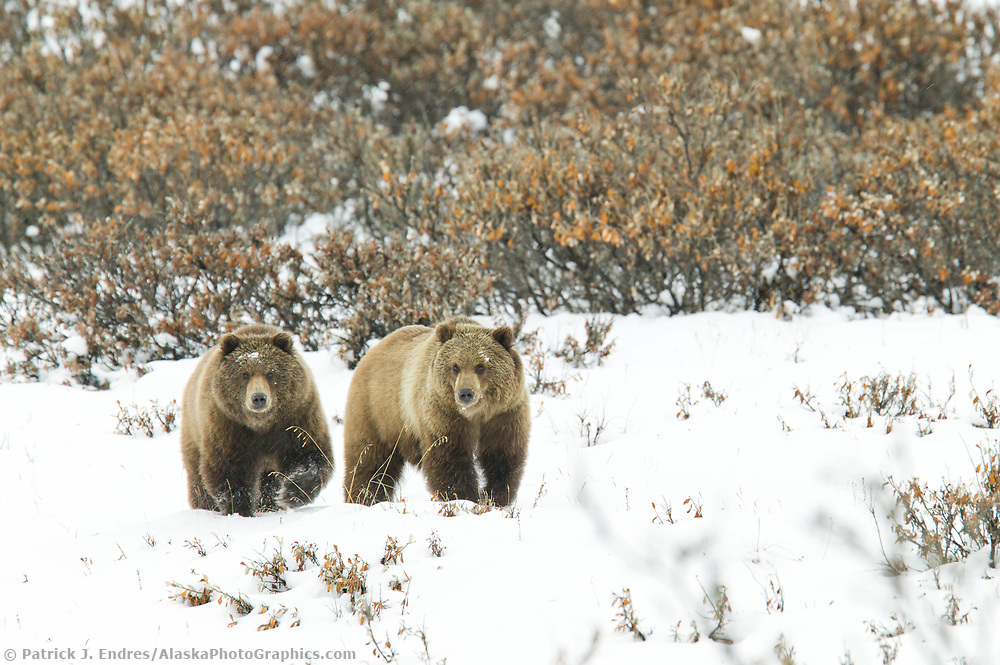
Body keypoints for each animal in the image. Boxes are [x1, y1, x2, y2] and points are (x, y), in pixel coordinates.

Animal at [182, 324, 334, 516]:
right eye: (244, 374)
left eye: (270, 373)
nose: (259, 398)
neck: (262, 425)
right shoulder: (229, 426)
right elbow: (229, 470)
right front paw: (239, 508)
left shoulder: (296, 418)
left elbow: (309, 454)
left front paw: (290, 492)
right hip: (194, 432)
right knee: (198, 478)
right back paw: (205, 506)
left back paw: (269, 504)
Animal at [344, 316, 532, 504]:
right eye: (455, 366)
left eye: (481, 366)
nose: (465, 393)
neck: (475, 414)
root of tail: (373, 350)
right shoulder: (444, 414)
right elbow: (449, 458)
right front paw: (462, 496)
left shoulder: (504, 415)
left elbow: (502, 456)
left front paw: (495, 496)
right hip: (377, 413)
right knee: (369, 461)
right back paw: (363, 497)